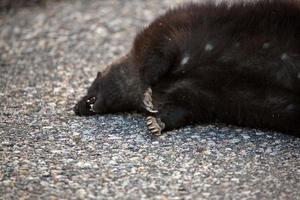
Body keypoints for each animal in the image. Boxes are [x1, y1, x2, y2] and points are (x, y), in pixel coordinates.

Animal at [73, 0, 300, 135]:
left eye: (90, 89)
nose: (77, 108)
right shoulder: (197, 92)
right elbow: (183, 107)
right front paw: (157, 122)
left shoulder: (170, 29)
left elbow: (159, 56)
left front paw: (147, 94)